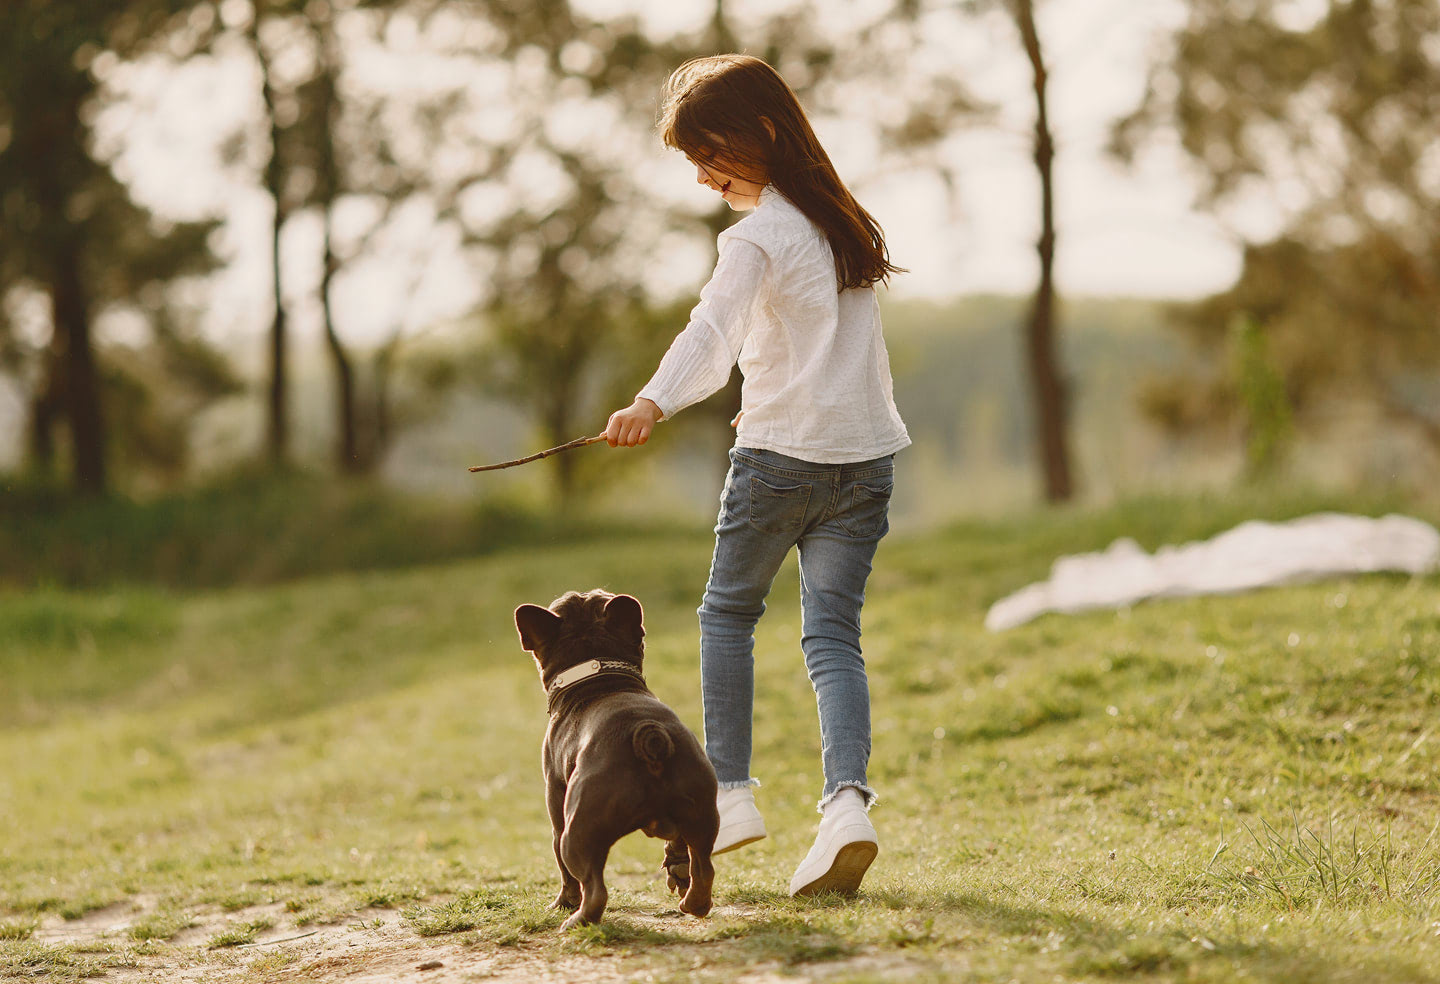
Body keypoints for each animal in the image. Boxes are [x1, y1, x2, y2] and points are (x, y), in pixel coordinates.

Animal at [515, 593, 720, 933]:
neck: (600, 679)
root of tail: (649, 735)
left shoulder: (556, 807)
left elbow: (565, 874)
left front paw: (561, 903)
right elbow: (678, 847)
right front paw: (676, 868)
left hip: (577, 833)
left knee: (593, 887)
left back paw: (576, 920)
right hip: (703, 813)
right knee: (704, 867)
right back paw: (694, 903)